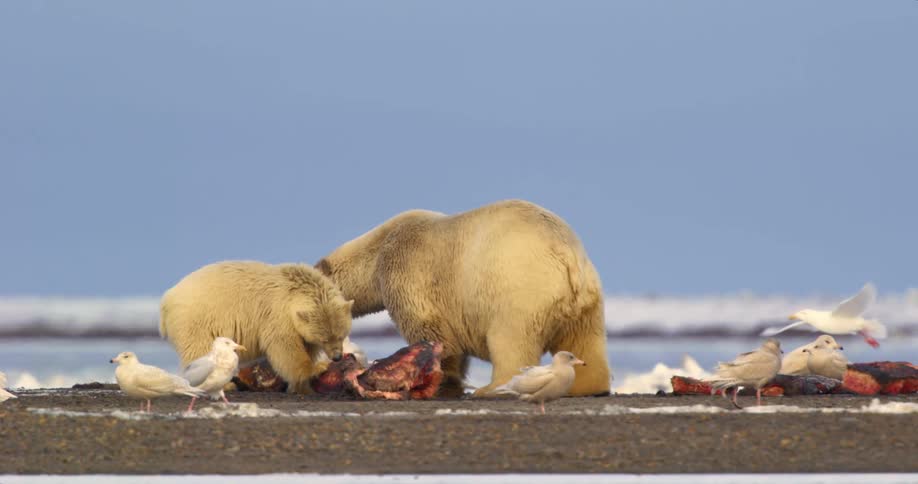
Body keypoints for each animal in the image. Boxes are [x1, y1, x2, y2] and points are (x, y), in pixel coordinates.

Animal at [159, 260, 354, 394]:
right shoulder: (277, 315)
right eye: (325, 339)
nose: (337, 357)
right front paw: (316, 369)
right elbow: (285, 347)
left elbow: (306, 346)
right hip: (198, 320)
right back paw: (225, 385)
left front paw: (302, 386)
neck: (294, 289)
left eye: (341, 335)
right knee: (200, 350)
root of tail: (166, 299)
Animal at [315, 199, 611, 398]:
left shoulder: (408, 270)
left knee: (510, 339)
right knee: (585, 340)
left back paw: (492, 388)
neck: (378, 250)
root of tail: (565, 252)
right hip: (587, 299)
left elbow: (432, 331)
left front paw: (442, 380)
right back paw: (589, 385)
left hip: (519, 288)